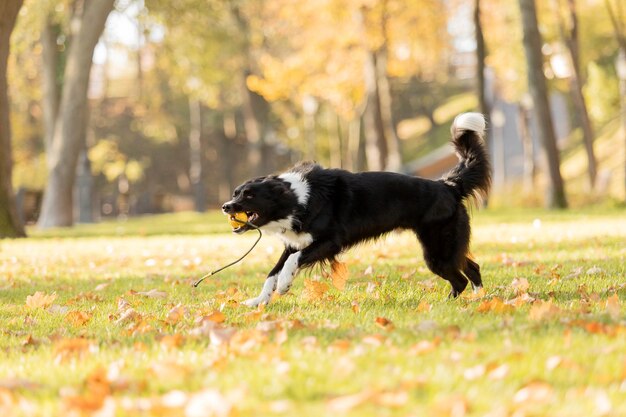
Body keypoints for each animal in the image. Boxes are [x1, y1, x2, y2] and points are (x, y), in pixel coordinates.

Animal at [222, 112, 490, 308]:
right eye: (235, 193)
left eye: (249, 195)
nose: (225, 206)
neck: (297, 198)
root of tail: (448, 185)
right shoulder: (295, 242)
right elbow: (271, 273)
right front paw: (259, 302)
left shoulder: (329, 242)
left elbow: (290, 263)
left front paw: (285, 284)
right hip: (447, 247)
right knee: (472, 268)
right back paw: (479, 299)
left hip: (437, 251)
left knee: (460, 278)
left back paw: (446, 304)